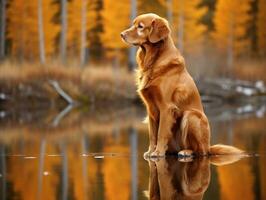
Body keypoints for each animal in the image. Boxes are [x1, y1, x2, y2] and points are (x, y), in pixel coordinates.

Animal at [120, 13, 243, 159]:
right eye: (134, 24)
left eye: (140, 26)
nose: (121, 34)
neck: (153, 61)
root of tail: (209, 146)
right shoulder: (150, 108)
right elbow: (153, 134)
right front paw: (150, 151)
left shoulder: (166, 107)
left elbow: (161, 133)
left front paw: (158, 152)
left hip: (191, 116)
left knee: (201, 151)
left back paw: (186, 152)